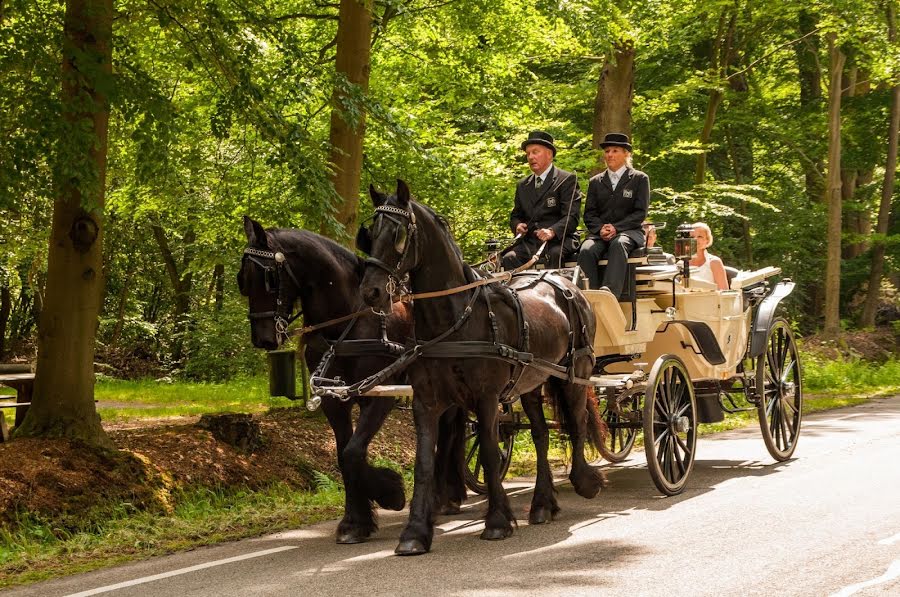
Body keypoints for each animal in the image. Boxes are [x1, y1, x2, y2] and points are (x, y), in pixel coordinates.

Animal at [236, 217, 468, 544]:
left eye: (268, 276)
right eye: (243, 279)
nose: (263, 338)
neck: (348, 323)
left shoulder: (379, 394)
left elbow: (354, 452)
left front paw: (390, 492)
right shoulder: (334, 400)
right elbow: (343, 455)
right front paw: (355, 521)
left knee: (447, 435)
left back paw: (440, 498)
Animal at [358, 180, 604, 556]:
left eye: (398, 234)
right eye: (370, 234)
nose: (370, 291)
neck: (455, 320)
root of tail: (565, 283)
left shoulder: (486, 399)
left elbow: (489, 453)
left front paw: (498, 521)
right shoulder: (426, 402)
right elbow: (424, 463)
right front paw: (415, 532)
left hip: (574, 375)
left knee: (576, 424)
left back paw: (584, 481)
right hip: (531, 382)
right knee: (541, 434)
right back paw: (542, 504)